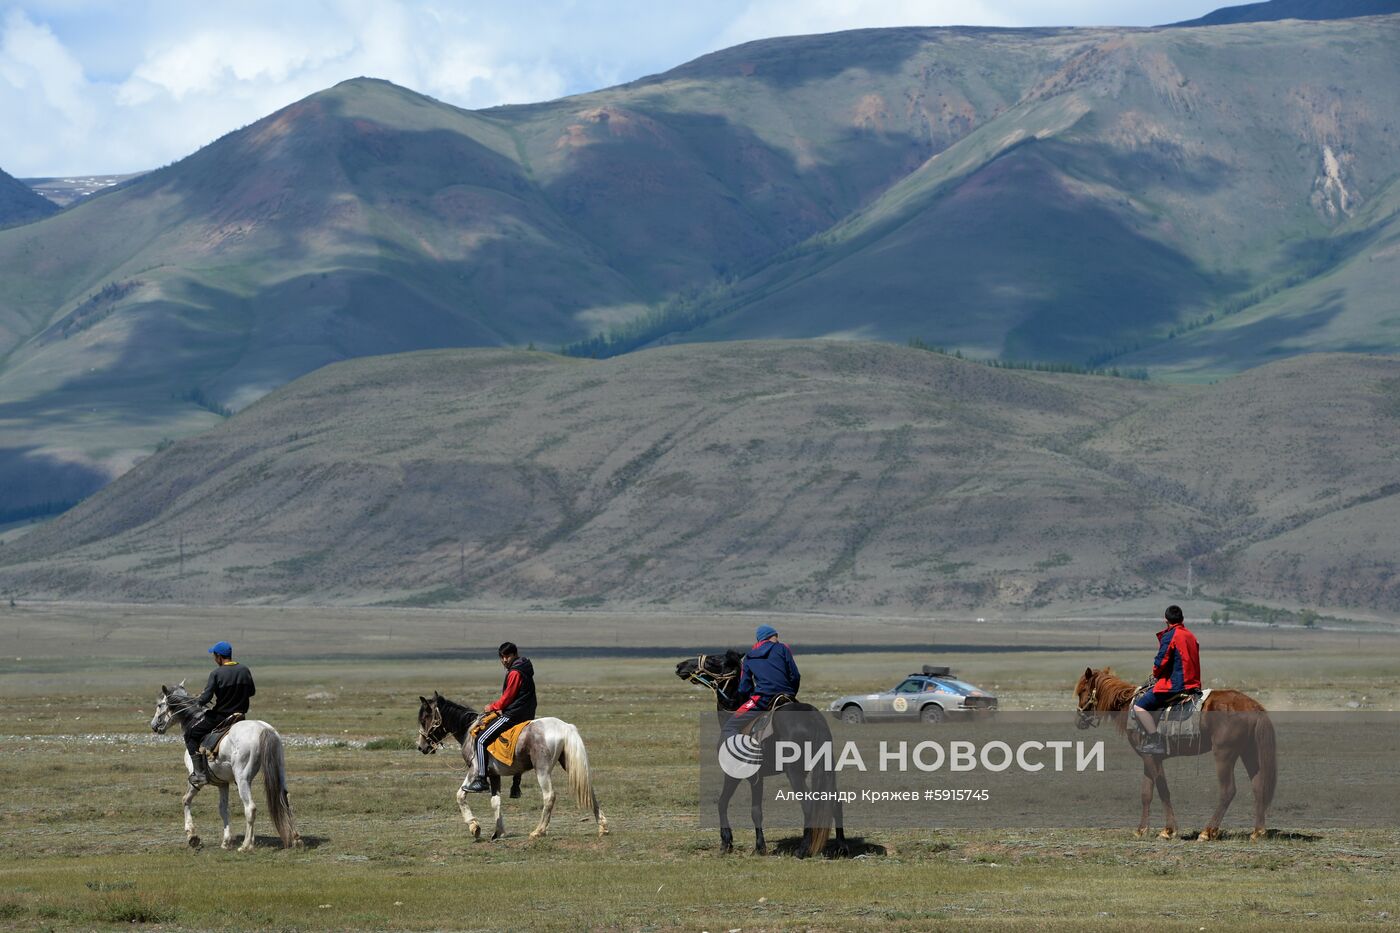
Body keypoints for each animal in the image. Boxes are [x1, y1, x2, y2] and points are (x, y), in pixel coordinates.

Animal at [149, 675, 299, 851]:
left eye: (160, 704)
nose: (154, 725)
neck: (193, 720)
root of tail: (263, 729)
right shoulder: (223, 783)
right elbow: (223, 809)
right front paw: (226, 841)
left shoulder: (197, 781)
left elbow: (185, 800)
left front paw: (192, 836)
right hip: (279, 770)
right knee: (285, 800)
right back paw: (295, 839)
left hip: (242, 778)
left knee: (250, 808)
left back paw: (246, 845)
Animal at [1069, 664, 1282, 840]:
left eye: (1082, 691)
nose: (1079, 720)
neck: (1128, 706)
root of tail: (1253, 706)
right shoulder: (1149, 757)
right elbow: (1146, 793)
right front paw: (1141, 830)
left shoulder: (1151, 757)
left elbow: (1163, 790)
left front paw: (1168, 830)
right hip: (1249, 753)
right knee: (1258, 786)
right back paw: (1257, 831)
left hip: (1224, 754)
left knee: (1228, 790)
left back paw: (1207, 832)